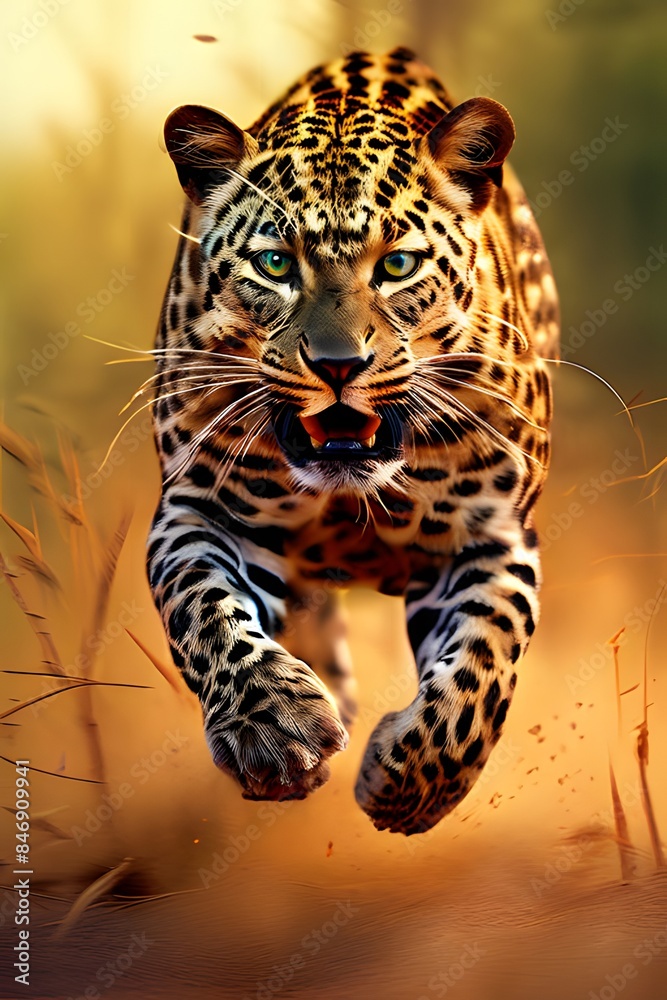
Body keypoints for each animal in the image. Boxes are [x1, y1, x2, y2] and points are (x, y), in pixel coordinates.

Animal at [146, 47, 559, 836]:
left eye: (397, 265)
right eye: (275, 265)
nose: (339, 364)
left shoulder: (493, 534)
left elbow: (484, 663)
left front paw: (409, 788)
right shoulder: (196, 507)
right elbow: (202, 609)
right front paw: (273, 729)